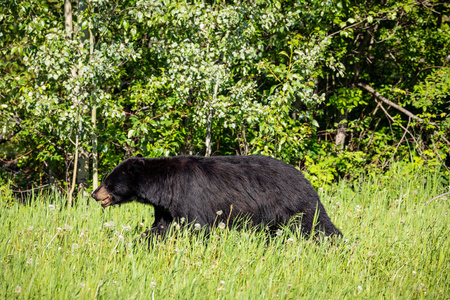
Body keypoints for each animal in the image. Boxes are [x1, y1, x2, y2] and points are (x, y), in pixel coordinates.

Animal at [93, 156, 342, 238]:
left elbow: (197, 226)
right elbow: (163, 227)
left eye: (108, 181)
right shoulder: (167, 206)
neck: (165, 185)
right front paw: (141, 240)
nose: (95, 194)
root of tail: (304, 178)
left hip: (294, 204)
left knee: (318, 224)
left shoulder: (190, 196)